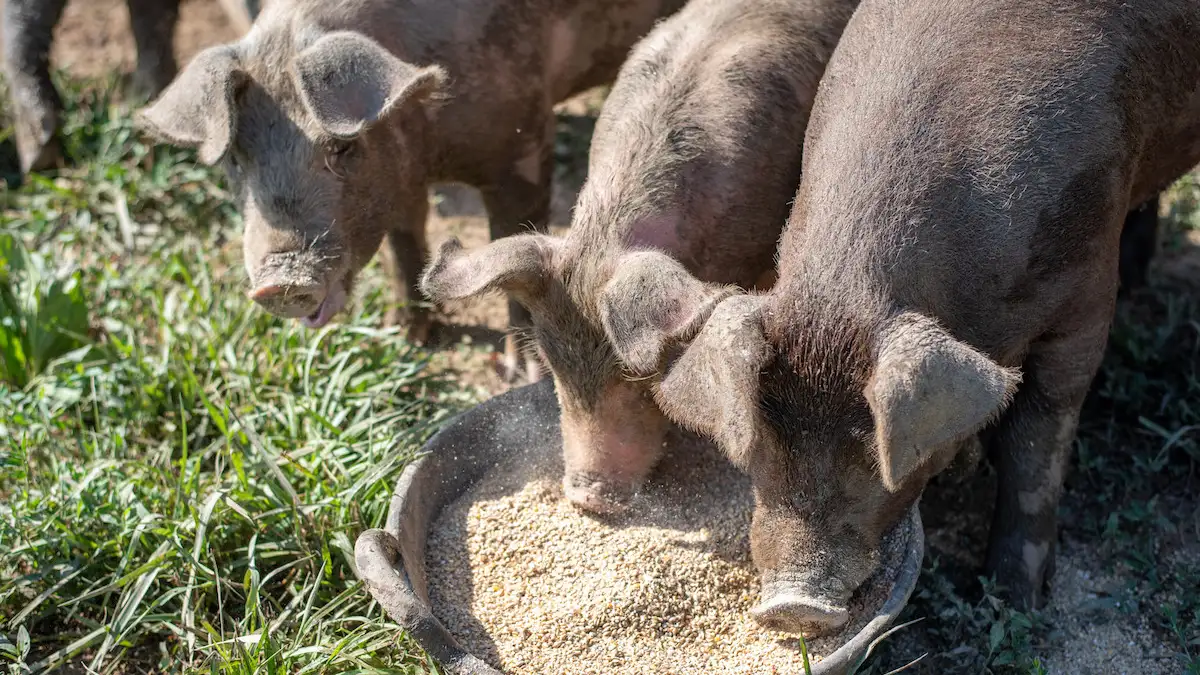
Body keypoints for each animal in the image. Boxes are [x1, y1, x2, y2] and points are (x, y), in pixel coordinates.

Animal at [133, 0, 686, 379]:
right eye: (235, 158)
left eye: (341, 148)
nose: (282, 281)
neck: (428, 152)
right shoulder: (401, 182)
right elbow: (405, 246)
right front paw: (405, 338)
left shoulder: (525, 144)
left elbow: (512, 249)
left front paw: (520, 374)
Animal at [604, 0, 1200, 629]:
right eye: (760, 442)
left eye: (872, 446)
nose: (794, 604)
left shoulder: (1084, 293)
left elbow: (1039, 439)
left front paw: (1013, 601)